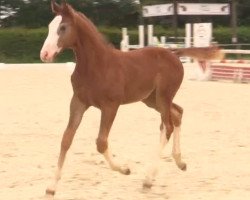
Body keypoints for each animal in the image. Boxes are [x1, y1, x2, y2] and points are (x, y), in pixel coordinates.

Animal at [40, 0, 221, 197]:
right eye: (50, 26)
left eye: (63, 28)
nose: (45, 54)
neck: (97, 65)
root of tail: (174, 53)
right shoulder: (78, 103)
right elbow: (66, 140)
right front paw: (51, 187)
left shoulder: (110, 105)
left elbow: (101, 142)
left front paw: (125, 169)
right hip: (151, 100)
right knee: (177, 113)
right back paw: (179, 162)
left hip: (163, 96)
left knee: (168, 126)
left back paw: (148, 180)